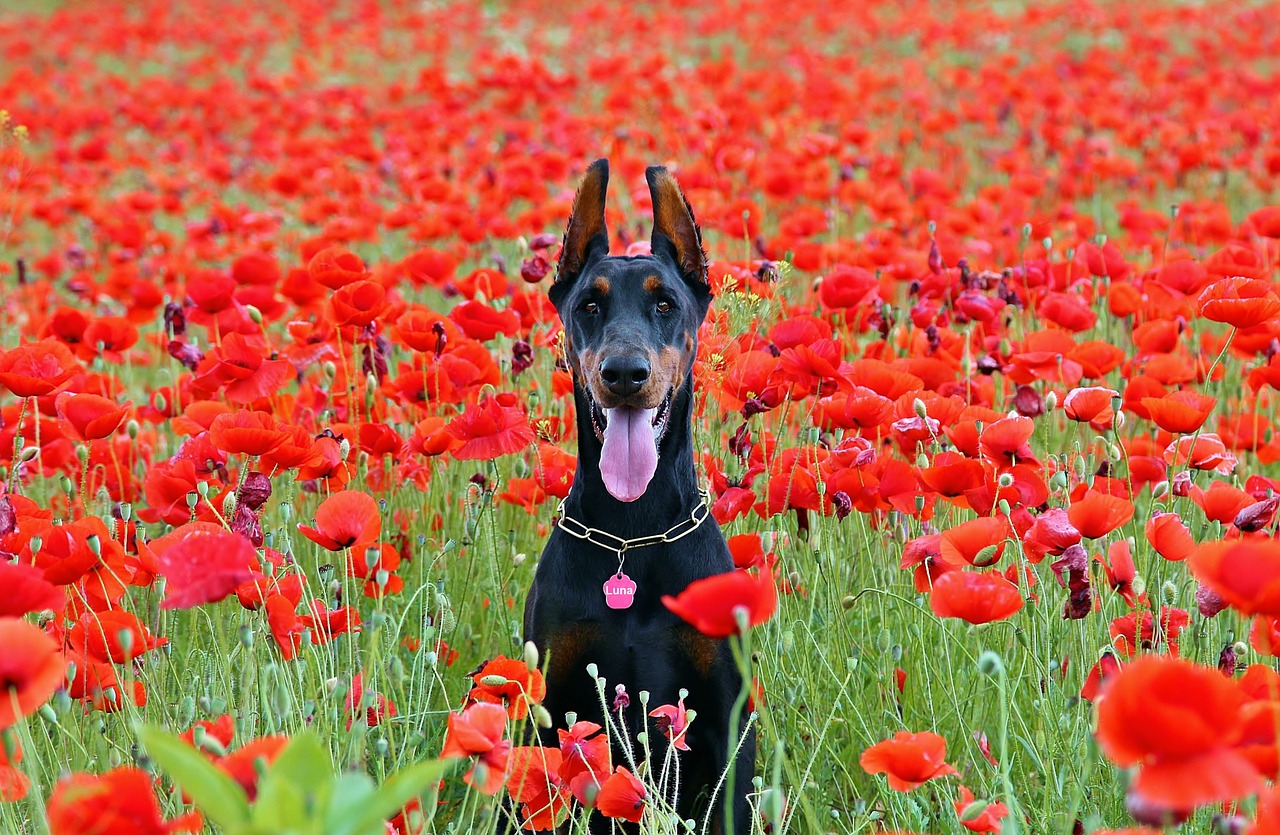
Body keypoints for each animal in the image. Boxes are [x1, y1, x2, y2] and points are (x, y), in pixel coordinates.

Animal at [519, 160, 752, 829]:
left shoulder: (727, 719)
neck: (632, 532)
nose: (624, 373)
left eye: (665, 303)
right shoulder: (551, 707)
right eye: (589, 305)